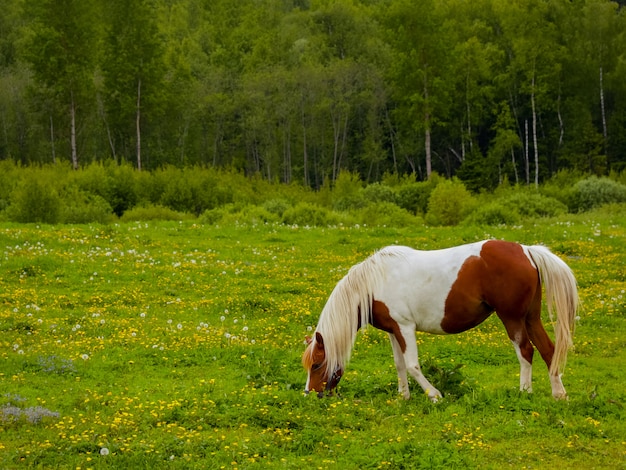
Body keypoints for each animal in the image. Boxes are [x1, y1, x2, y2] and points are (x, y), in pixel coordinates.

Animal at [300, 241, 576, 402]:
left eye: (317, 364)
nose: (310, 394)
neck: (374, 282)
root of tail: (527, 250)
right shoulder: (393, 330)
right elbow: (399, 365)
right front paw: (404, 397)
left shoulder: (405, 328)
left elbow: (412, 365)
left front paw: (434, 395)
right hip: (531, 317)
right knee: (548, 350)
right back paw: (559, 394)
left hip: (512, 318)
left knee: (526, 351)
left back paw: (525, 392)